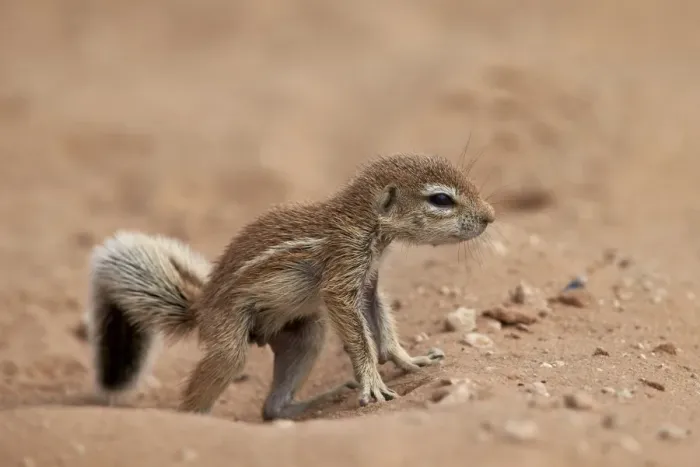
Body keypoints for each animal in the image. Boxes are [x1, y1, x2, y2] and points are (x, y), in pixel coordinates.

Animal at [84, 153, 495, 420]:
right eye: (440, 199)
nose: (490, 216)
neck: (363, 223)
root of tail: (201, 309)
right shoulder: (342, 274)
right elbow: (360, 338)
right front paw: (372, 383)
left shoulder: (367, 284)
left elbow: (382, 325)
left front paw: (410, 361)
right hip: (229, 339)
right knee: (214, 380)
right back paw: (193, 419)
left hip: (306, 334)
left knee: (271, 409)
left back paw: (312, 403)